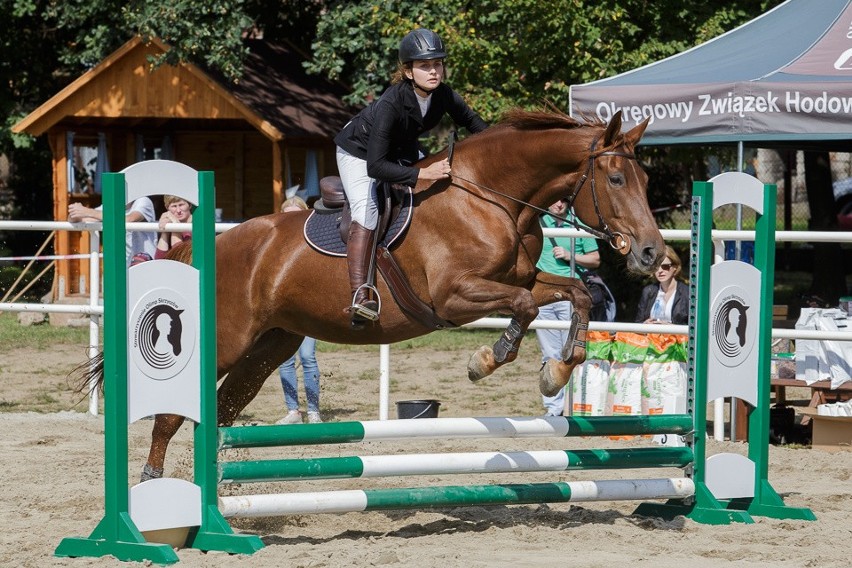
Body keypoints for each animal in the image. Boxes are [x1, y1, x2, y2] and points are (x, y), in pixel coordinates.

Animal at [120, 107, 664, 480]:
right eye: (616, 178)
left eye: (645, 178)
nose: (652, 253)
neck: (490, 199)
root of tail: (210, 245)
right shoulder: (453, 298)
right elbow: (526, 307)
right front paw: (486, 359)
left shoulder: (521, 278)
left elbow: (576, 295)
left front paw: (557, 371)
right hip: (227, 341)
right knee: (171, 415)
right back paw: (154, 491)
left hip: (272, 344)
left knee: (223, 406)